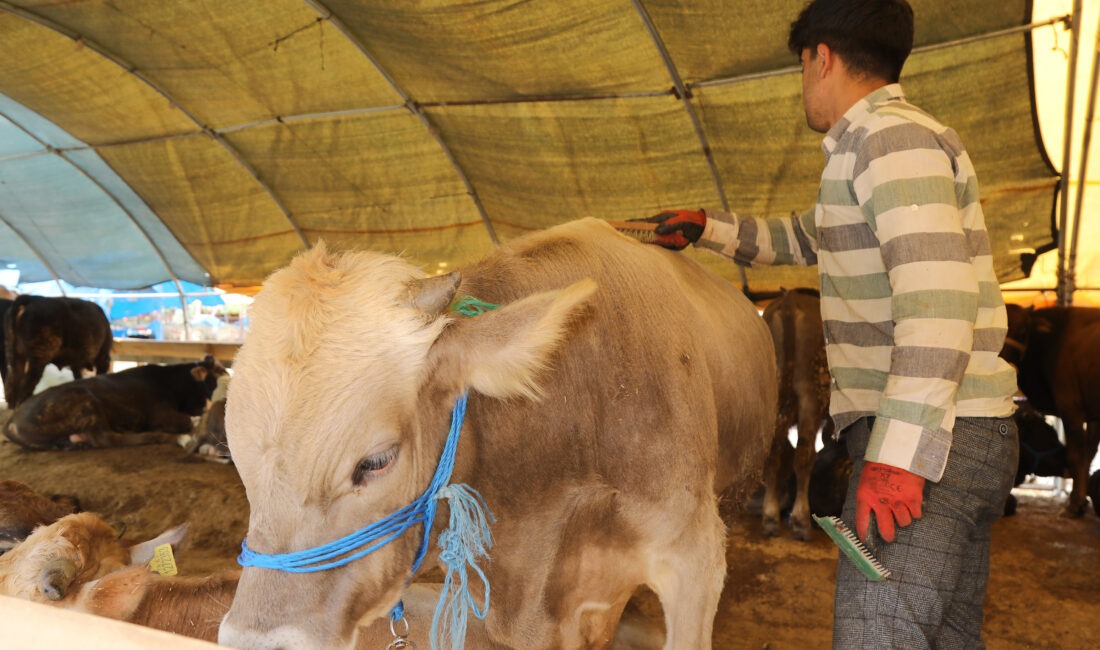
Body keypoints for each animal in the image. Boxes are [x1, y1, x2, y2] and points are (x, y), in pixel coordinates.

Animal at [1, 354, 225, 450]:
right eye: (219, 373)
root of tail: (12, 419)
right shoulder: (160, 412)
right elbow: (186, 420)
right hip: (86, 404)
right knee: (108, 439)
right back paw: (169, 437)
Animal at [761, 288, 827, 538]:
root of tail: (788, 299)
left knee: (774, 453)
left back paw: (770, 516)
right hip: (810, 397)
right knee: (804, 456)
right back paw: (801, 520)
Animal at [1007, 305, 1100, 519]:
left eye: (1023, 331)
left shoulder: (1070, 407)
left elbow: (1077, 454)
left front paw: (1075, 504)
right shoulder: (1093, 415)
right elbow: (1089, 453)